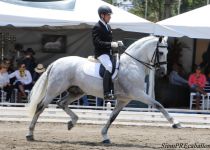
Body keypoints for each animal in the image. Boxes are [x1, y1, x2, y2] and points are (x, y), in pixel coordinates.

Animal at [25, 35, 180, 143]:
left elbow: (112, 117)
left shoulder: (124, 100)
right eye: (161, 53)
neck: (133, 64)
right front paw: (175, 123)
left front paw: (105, 136)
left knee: (61, 103)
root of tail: (55, 63)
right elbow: (158, 105)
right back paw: (30, 134)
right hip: (54, 90)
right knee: (40, 106)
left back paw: (72, 122)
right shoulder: (138, 94)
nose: (162, 73)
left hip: (77, 91)